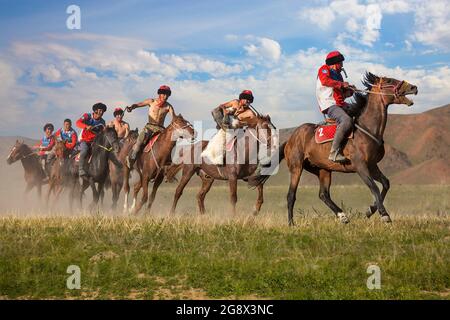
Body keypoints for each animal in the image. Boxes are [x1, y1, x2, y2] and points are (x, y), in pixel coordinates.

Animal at [255, 72, 416, 226]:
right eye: (389, 80)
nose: (414, 87)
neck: (367, 129)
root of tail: (290, 140)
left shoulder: (372, 166)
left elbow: (385, 184)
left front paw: (370, 210)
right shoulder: (361, 166)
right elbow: (374, 187)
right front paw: (384, 215)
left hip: (323, 169)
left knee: (323, 194)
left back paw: (343, 216)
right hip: (297, 168)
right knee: (291, 196)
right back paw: (291, 224)